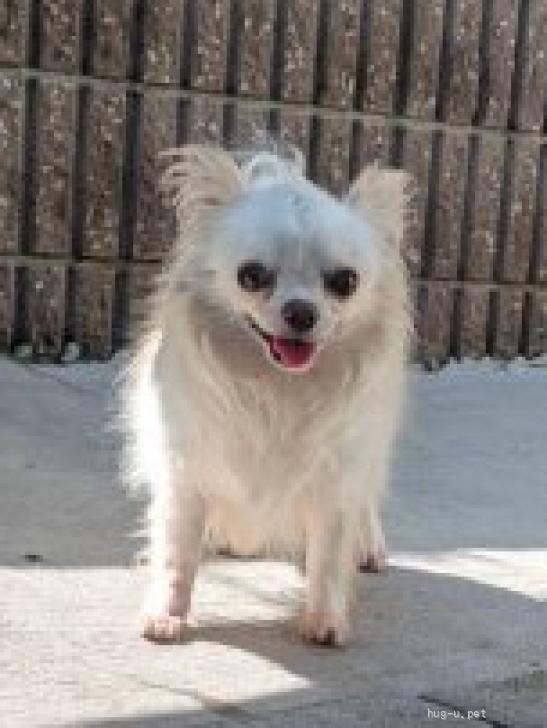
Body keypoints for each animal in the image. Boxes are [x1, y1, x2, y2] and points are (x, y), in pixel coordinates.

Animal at [121, 145, 411, 646]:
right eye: (252, 276)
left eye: (345, 282)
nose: (301, 311)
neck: (277, 387)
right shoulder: (187, 471)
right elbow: (177, 551)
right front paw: (166, 613)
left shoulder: (337, 476)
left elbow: (329, 552)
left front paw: (324, 618)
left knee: (368, 496)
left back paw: (368, 546)